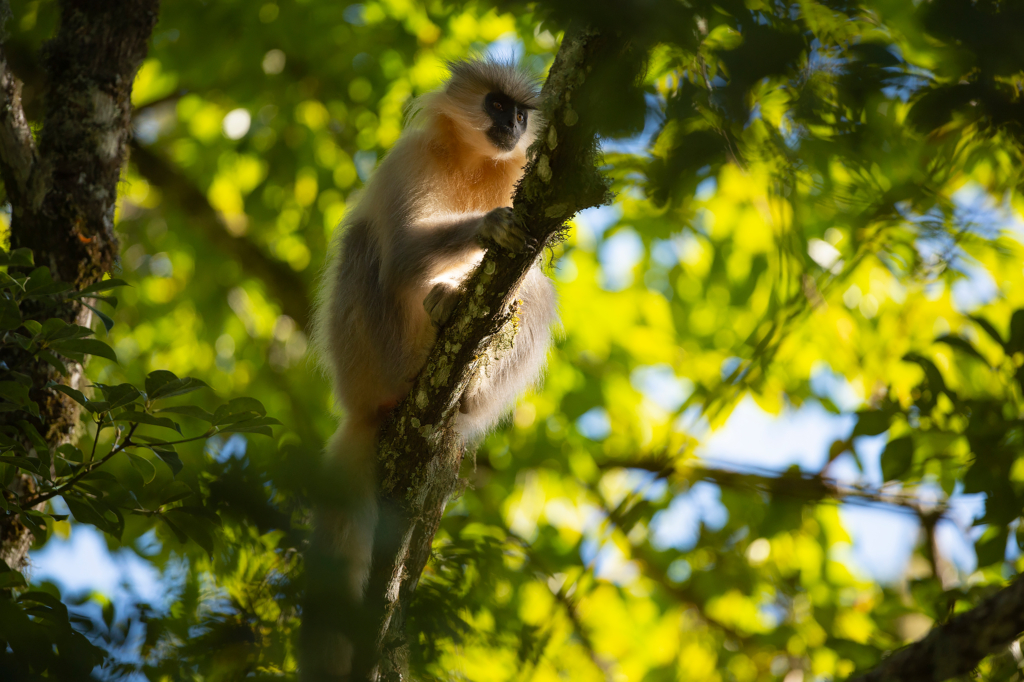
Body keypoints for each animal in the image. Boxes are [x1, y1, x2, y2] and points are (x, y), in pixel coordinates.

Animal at [307, 58, 557, 610]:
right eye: (496, 104)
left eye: (521, 114)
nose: (513, 127)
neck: (475, 159)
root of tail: (359, 408)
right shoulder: (412, 156)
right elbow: (401, 253)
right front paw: (488, 226)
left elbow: (527, 278)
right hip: (369, 359)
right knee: (365, 241)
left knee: (541, 294)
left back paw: (469, 391)